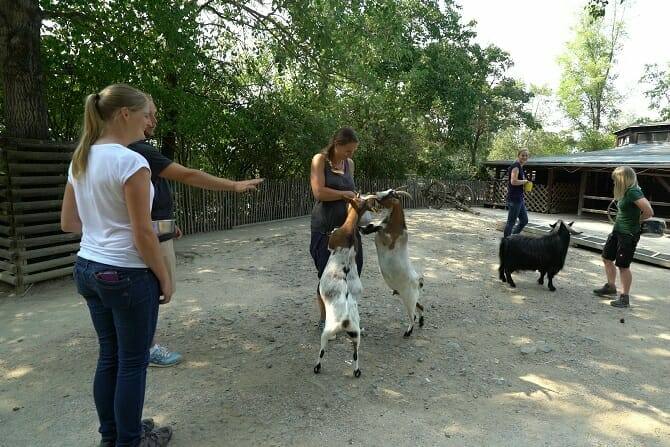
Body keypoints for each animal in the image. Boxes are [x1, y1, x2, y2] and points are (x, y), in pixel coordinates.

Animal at [316, 195, 378, 378]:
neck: (349, 232)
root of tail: (345, 321)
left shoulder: (333, 241)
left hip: (328, 332)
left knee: (322, 351)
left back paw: (317, 367)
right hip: (356, 335)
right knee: (356, 354)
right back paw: (356, 371)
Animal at [362, 187, 426, 338]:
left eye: (391, 194)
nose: (376, 194)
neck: (396, 227)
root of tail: (418, 281)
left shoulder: (386, 239)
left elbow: (378, 228)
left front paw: (367, 228)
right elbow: (374, 226)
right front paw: (364, 229)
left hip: (408, 299)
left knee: (412, 316)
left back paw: (408, 332)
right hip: (408, 296)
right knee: (420, 307)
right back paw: (421, 322)